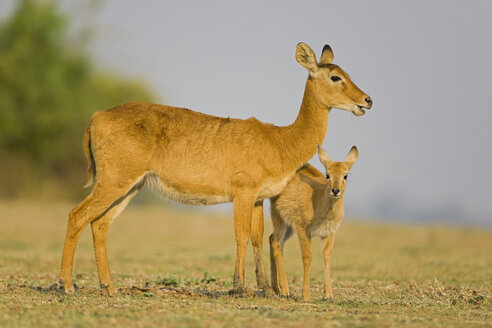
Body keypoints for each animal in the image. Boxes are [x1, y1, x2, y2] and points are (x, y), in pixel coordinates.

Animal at [270, 147, 358, 302]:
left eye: (345, 175)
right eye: (327, 174)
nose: (335, 191)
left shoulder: (329, 232)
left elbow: (327, 256)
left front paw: (329, 295)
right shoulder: (303, 230)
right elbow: (307, 257)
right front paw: (305, 295)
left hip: (289, 227)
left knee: (272, 239)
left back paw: (277, 288)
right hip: (280, 219)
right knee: (276, 244)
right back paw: (285, 291)